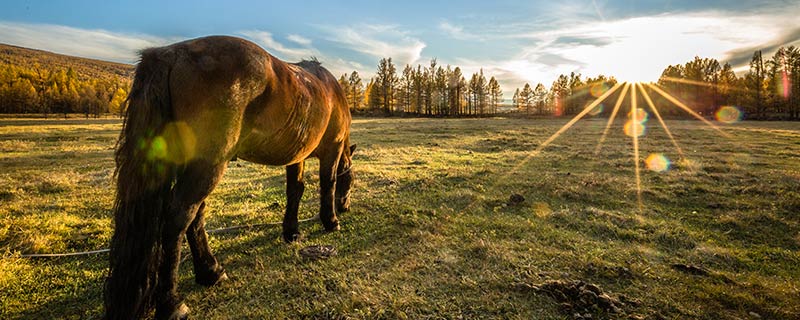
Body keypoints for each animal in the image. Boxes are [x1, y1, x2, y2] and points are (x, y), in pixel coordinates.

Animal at [104, 36, 354, 320]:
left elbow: (295, 191)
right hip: (208, 166)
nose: (345, 207)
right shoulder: (332, 149)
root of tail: (171, 54)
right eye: (351, 181)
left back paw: (210, 272)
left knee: (195, 215)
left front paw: (292, 232)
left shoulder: (296, 156)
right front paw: (330, 221)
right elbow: (328, 183)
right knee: (178, 218)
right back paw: (172, 303)